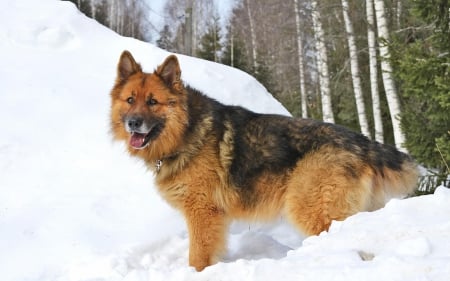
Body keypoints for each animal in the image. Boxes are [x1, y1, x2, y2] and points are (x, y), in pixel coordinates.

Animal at [110, 50, 418, 272]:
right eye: (130, 100)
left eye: (153, 102)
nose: (133, 123)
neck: (186, 131)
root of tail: (363, 141)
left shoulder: (202, 213)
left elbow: (198, 256)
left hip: (310, 208)